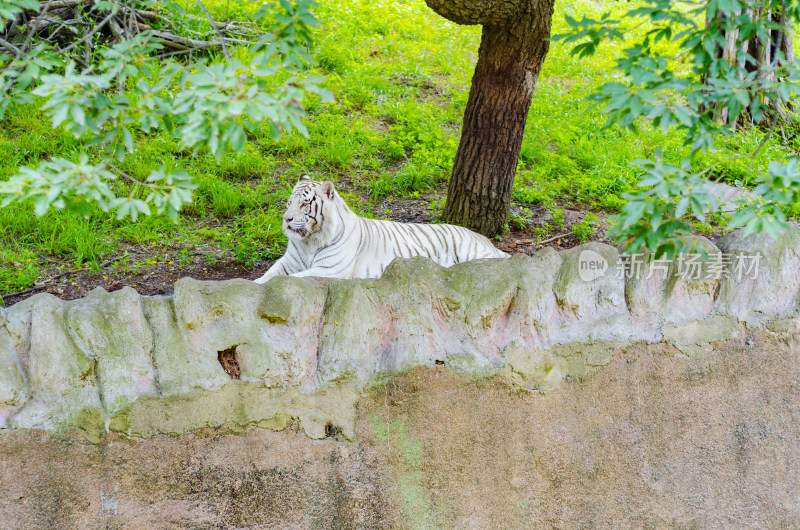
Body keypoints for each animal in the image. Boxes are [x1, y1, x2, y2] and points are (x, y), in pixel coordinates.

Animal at [253, 175, 510, 282]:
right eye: (288, 203)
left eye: (304, 204)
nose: (286, 219)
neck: (309, 241)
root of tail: (484, 238)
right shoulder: (288, 263)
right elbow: (267, 277)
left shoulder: (329, 270)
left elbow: (287, 280)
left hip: (473, 254)